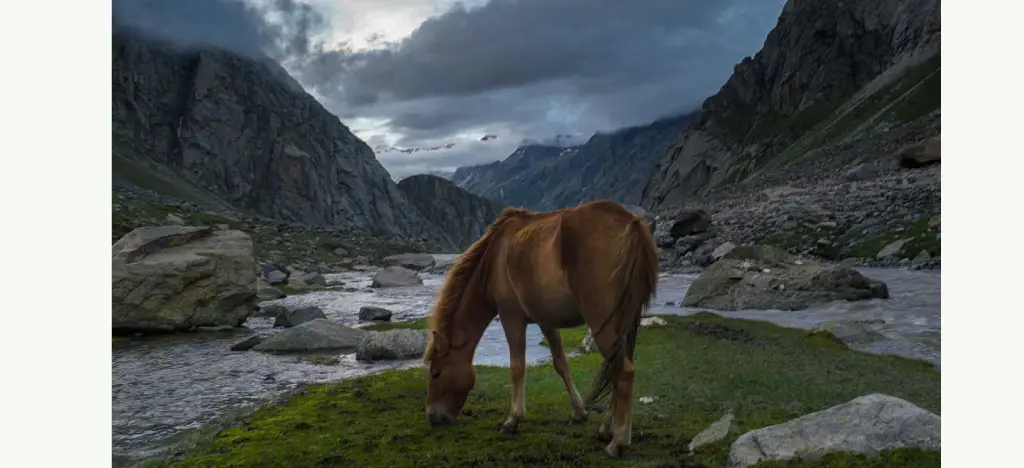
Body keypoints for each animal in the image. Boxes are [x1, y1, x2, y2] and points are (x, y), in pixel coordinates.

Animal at [421, 197, 655, 456]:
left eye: (436, 372)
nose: (432, 416)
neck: (493, 259)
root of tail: (631, 223)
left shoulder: (511, 317)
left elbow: (517, 368)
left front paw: (513, 420)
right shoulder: (545, 321)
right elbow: (561, 364)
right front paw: (579, 411)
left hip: (604, 325)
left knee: (624, 372)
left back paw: (618, 441)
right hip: (623, 324)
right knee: (615, 369)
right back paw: (607, 429)